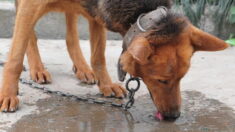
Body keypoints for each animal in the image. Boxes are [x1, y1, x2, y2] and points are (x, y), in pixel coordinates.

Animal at [0, 0, 228, 120]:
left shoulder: (96, 13)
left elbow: (98, 56)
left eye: (181, 78)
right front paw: (8, 94)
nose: (174, 116)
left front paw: (106, 84)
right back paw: (37, 68)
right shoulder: (31, 5)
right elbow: (15, 56)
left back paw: (82, 68)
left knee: (71, 34)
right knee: (29, 36)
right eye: (162, 80)